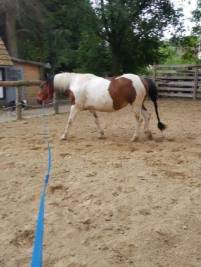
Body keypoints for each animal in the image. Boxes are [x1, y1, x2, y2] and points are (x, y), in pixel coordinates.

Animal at [37, 72, 166, 141]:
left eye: (43, 86)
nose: (38, 100)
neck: (75, 83)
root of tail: (142, 79)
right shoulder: (91, 108)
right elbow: (96, 120)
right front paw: (101, 134)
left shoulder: (75, 107)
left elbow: (70, 121)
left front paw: (64, 136)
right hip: (139, 105)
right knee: (147, 116)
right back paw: (148, 133)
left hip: (135, 105)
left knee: (139, 120)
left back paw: (134, 137)